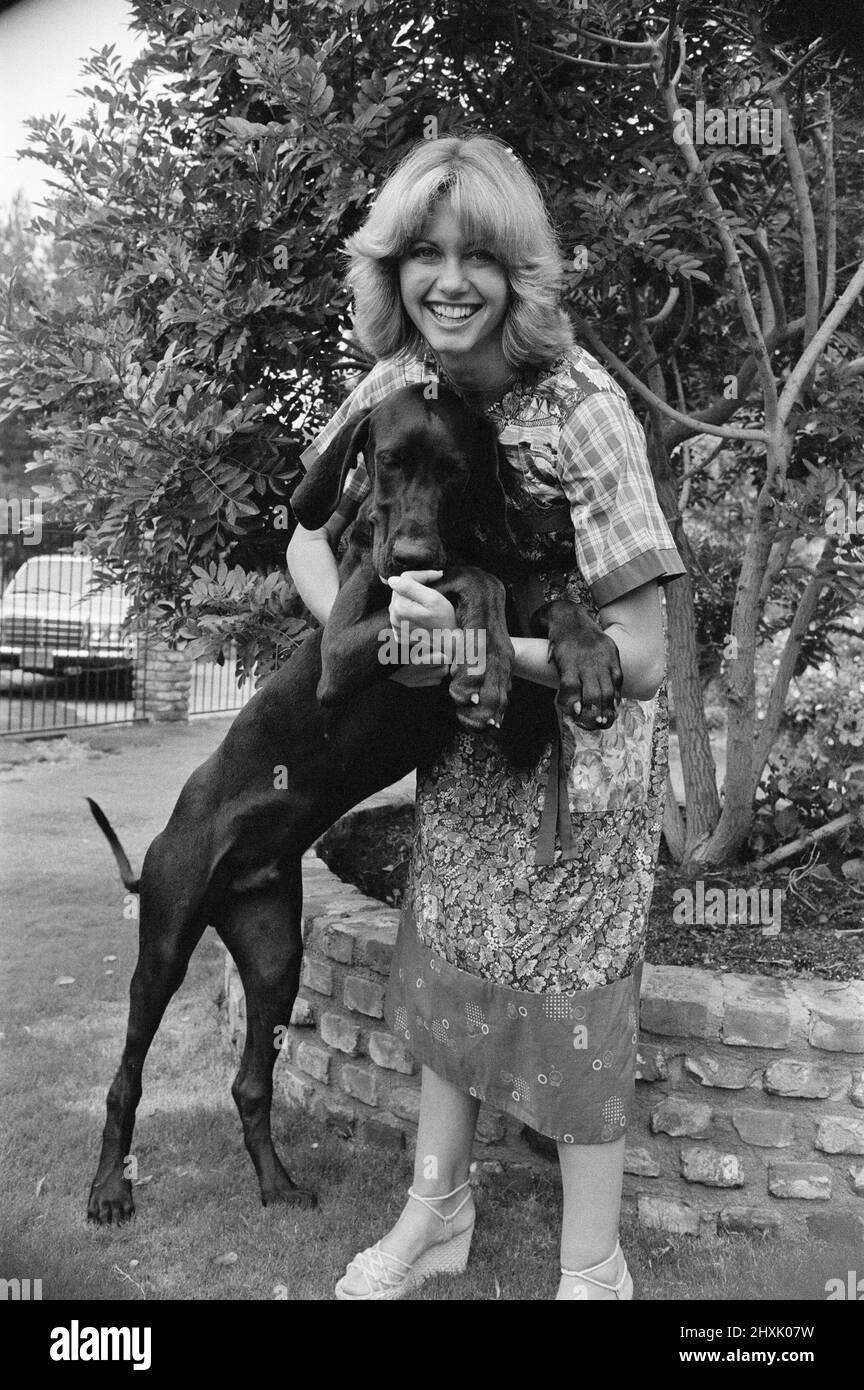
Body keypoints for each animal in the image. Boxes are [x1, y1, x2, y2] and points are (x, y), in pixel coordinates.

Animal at [86, 386, 622, 1223]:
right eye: (389, 462)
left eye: (456, 470)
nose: (407, 555)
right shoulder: (343, 650)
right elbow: (476, 577)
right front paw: (488, 641)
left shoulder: (519, 733)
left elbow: (538, 605)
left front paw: (586, 653)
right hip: (166, 938)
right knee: (125, 1077)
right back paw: (111, 1187)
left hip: (276, 955)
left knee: (250, 1081)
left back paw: (275, 1182)